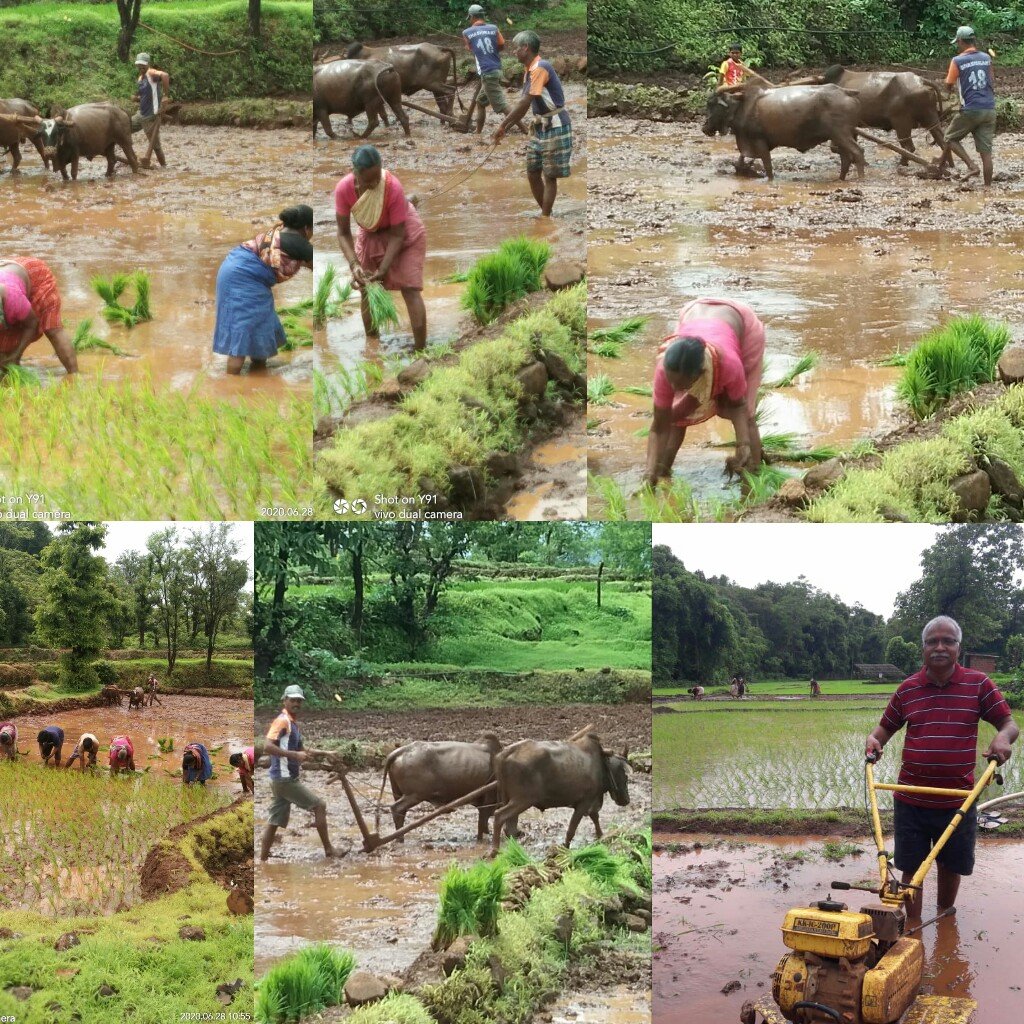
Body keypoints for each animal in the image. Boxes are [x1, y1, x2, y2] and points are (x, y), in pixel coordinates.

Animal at [489, 733, 626, 851]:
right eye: (623, 771)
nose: (626, 800)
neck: (599, 763)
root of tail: (504, 753)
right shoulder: (584, 802)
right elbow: (572, 829)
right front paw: (565, 847)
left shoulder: (589, 802)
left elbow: (595, 817)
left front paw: (600, 835)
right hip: (523, 800)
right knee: (499, 815)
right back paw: (495, 850)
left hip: (507, 798)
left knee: (509, 828)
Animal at [704, 82, 864, 183]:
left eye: (711, 104)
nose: (704, 128)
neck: (742, 107)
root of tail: (845, 91)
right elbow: (741, 159)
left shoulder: (759, 141)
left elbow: (767, 165)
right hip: (838, 136)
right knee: (845, 157)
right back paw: (840, 178)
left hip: (841, 133)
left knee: (857, 152)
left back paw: (861, 178)